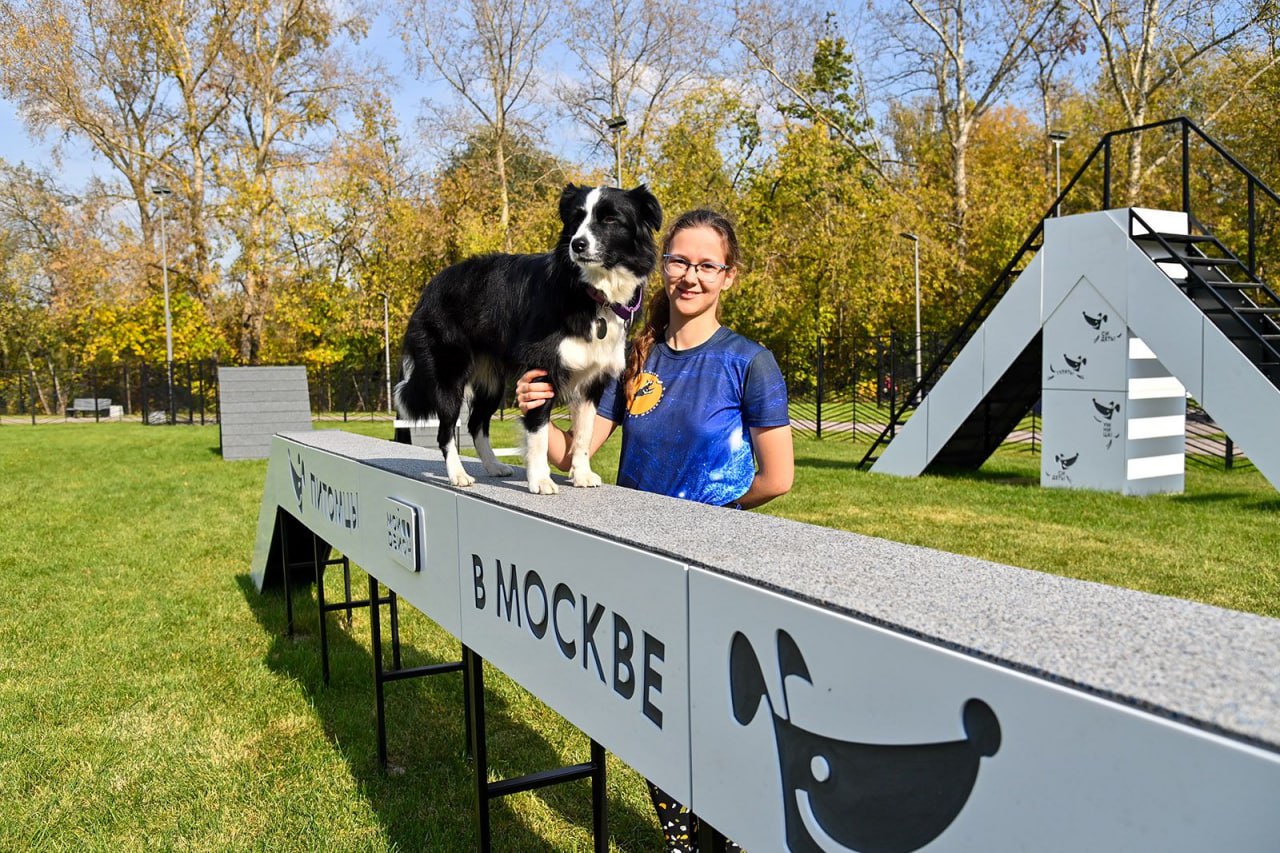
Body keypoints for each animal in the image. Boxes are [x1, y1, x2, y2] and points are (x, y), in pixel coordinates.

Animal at [396, 183, 660, 494]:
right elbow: (538, 431)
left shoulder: (592, 379)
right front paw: (540, 479)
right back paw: (457, 474)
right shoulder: (540, 369)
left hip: (491, 380)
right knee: (446, 429)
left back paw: (493, 466)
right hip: (449, 373)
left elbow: (584, 433)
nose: (577, 244)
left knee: (476, 423)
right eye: (576, 219)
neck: (591, 291)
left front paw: (582, 474)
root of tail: (431, 287)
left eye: (609, 219)